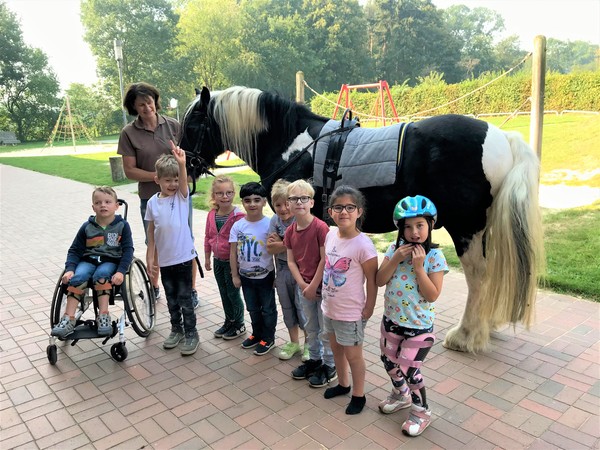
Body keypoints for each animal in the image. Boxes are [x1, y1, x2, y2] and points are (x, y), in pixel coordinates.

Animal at [179, 84, 544, 352]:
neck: (294, 144)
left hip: (466, 227)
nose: (185, 164)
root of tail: (503, 138)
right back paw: (487, 325)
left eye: (193, 124)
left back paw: (466, 335)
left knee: (478, 275)